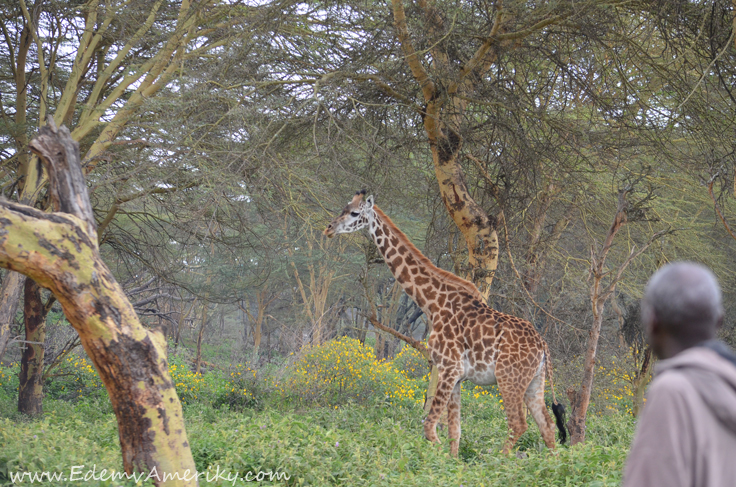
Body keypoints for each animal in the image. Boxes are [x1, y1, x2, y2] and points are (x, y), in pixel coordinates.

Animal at [324, 191, 568, 458]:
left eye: (355, 213)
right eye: (343, 207)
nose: (329, 229)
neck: (432, 303)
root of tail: (543, 345)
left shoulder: (448, 368)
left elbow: (429, 427)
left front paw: (438, 458)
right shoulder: (457, 376)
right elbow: (455, 432)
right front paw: (452, 461)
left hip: (509, 379)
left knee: (518, 424)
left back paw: (498, 461)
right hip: (535, 382)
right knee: (547, 427)